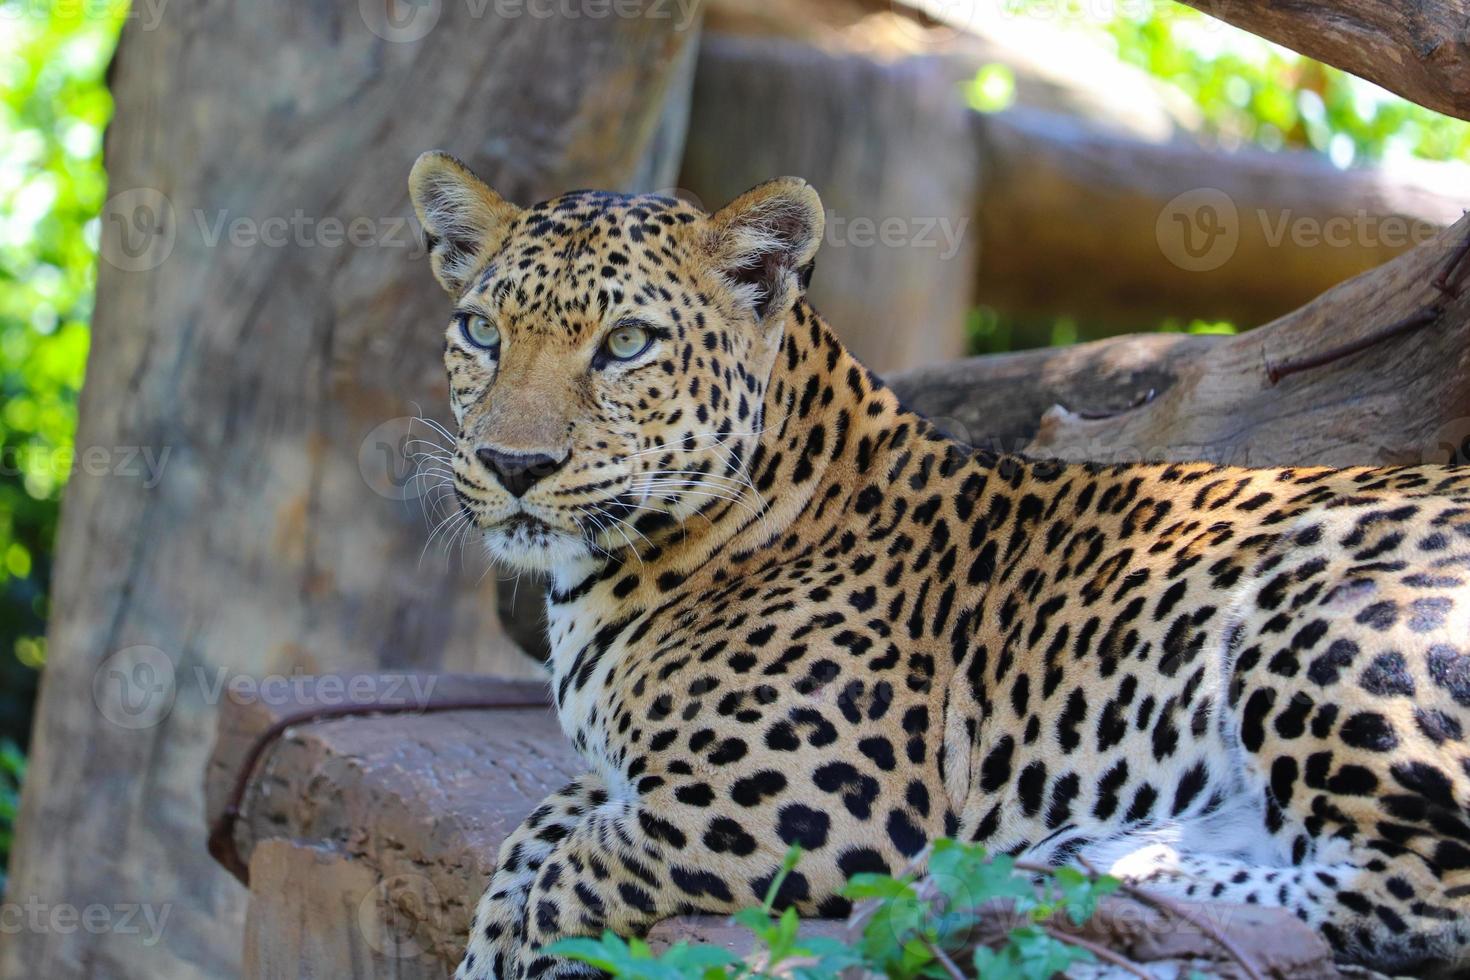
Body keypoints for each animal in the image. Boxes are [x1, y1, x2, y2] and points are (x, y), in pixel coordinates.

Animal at [408, 149, 1470, 975]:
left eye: (627, 343)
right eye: (482, 331)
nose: (511, 465)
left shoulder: (806, 806)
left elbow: (573, 867)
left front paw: (533, 953)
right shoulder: (623, 772)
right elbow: (530, 839)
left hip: (1327, 609)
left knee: (1424, 894)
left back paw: (1068, 874)